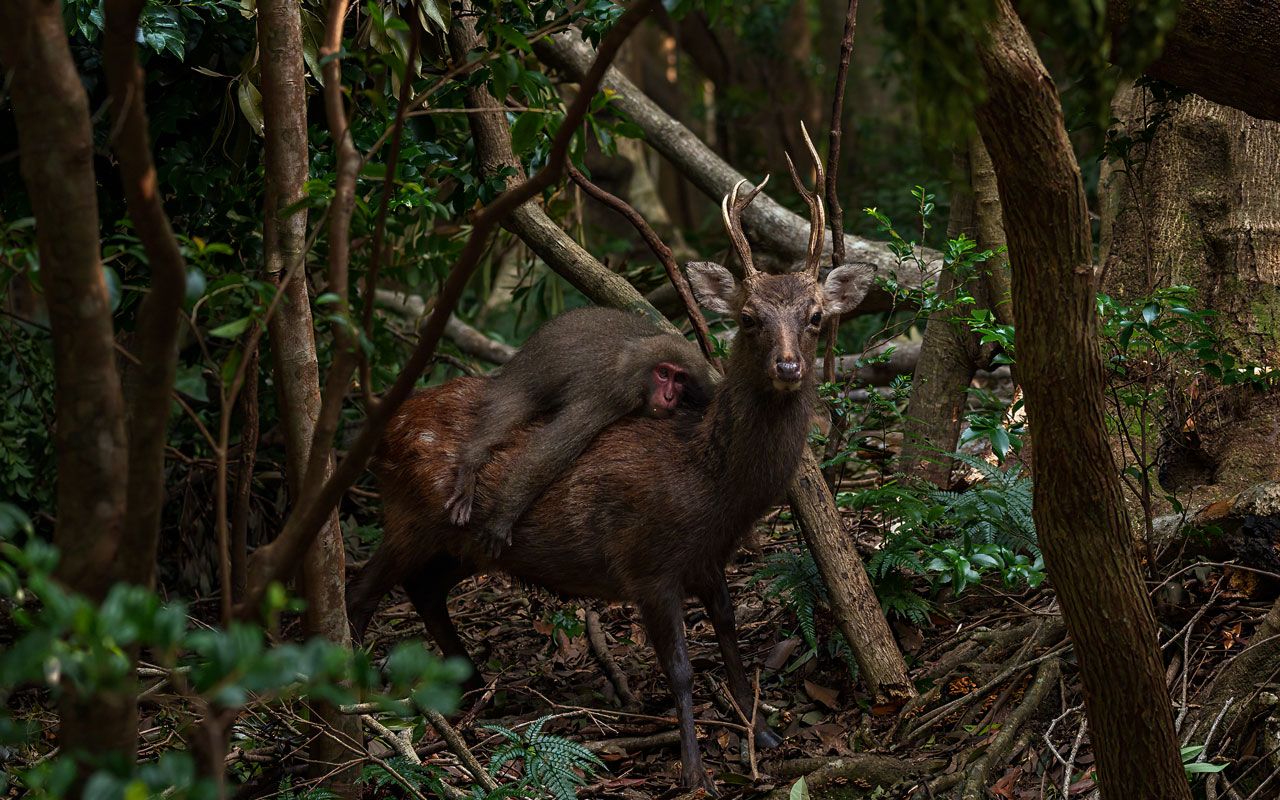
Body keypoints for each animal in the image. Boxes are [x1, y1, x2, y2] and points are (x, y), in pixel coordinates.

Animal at [445, 307, 715, 555]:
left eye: (680, 379)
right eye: (663, 373)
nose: (669, 396)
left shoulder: (703, 390)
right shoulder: (610, 392)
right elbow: (548, 452)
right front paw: (502, 517)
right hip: (527, 372)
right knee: (510, 405)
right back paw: (472, 459)